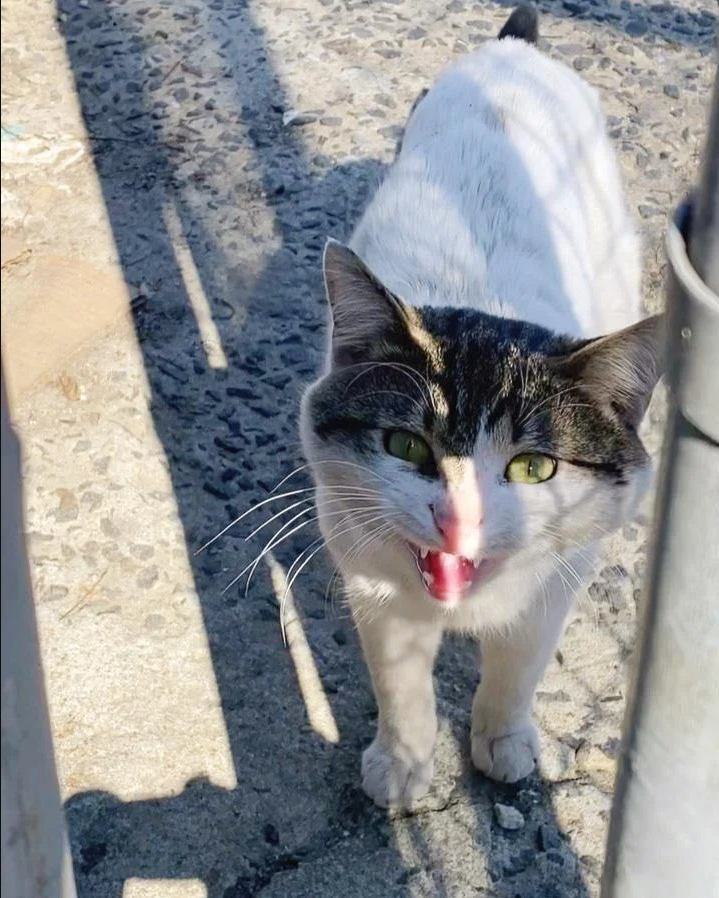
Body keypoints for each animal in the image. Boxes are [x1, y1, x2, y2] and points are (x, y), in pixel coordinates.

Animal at [298, 3, 664, 808]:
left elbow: (519, 664)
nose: (456, 521)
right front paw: (401, 762)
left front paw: (502, 738)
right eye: (406, 446)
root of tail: (511, 51)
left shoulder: (558, 580)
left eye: (533, 468)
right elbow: (399, 683)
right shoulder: (372, 575)